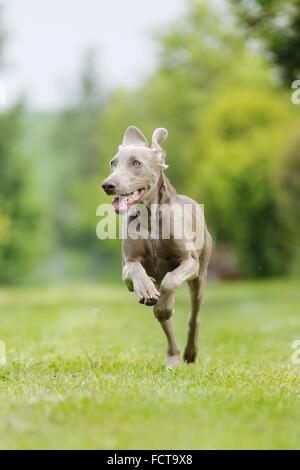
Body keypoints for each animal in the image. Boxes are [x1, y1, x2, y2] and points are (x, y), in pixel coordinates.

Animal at [102, 126, 212, 370]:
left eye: (136, 163)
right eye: (113, 163)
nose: (107, 185)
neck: (150, 216)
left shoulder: (190, 261)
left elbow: (171, 280)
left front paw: (161, 302)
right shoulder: (127, 268)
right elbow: (135, 271)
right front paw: (146, 288)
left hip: (200, 276)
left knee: (193, 316)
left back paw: (190, 351)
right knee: (166, 324)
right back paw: (173, 356)